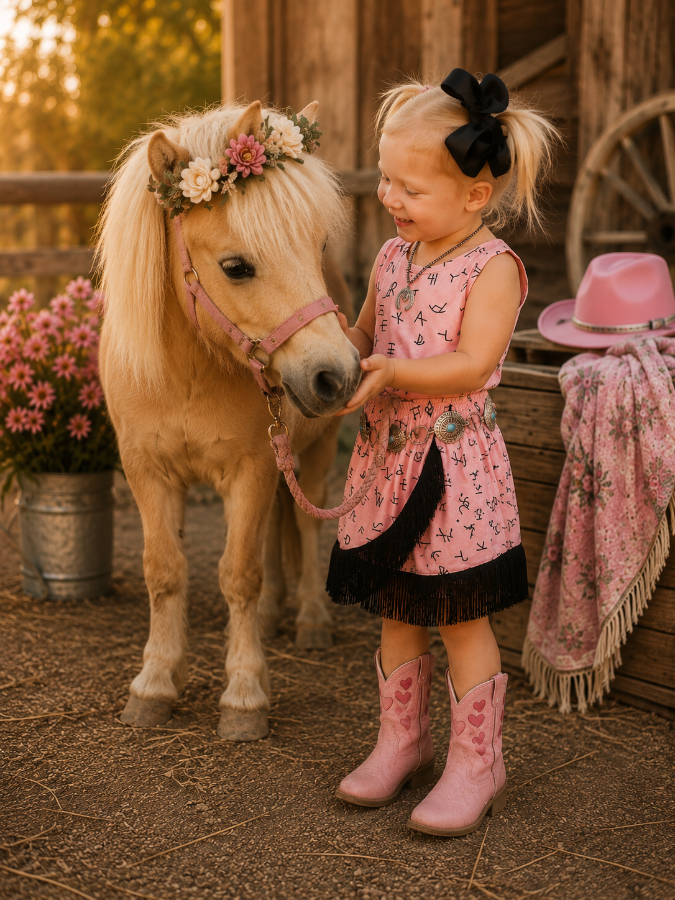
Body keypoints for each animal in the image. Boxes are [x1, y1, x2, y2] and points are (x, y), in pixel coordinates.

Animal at [97, 99, 360, 742]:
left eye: (318, 246)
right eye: (236, 267)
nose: (336, 375)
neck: (187, 370)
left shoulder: (252, 469)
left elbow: (239, 574)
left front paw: (244, 695)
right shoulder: (147, 472)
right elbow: (165, 571)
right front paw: (155, 682)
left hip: (314, 456)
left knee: (305, 527)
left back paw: (310, 619)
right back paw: (269, 619)